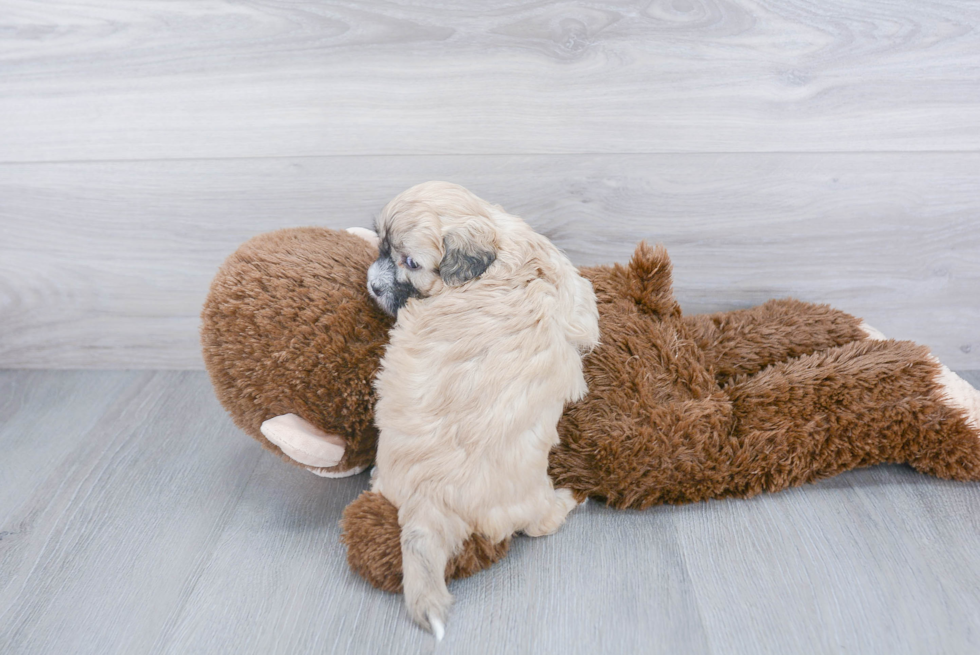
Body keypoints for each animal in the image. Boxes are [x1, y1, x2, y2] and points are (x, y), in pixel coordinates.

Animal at [366, 182, 596, 640]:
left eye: (410, 263)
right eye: (381, 245)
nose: (371, 285)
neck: (499, 255)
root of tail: (427, 498)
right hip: (528, 498)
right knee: (539, 525)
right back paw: (568, 501)